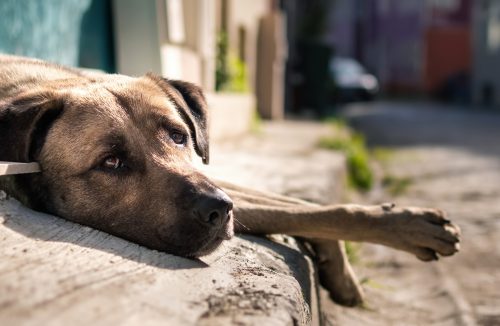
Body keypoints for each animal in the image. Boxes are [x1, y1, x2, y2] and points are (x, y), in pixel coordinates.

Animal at [0, 54, 460, 306]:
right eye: (111, 162)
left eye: (179, 136)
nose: (219, 210)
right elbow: (298, 210)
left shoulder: (213, 176)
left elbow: (303, 207)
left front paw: (393, 230)